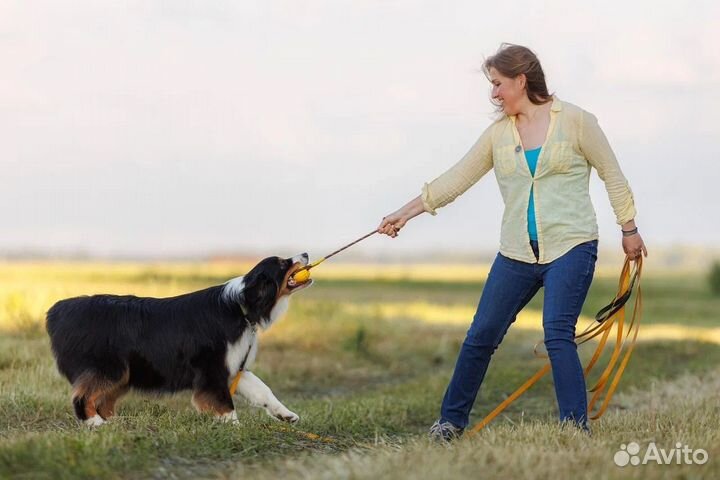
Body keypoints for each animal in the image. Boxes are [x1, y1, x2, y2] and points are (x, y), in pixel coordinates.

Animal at [45, 253, 312, 426]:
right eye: (282, 262)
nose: (306, 253)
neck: (242, 307)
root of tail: (59, 310)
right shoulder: (211, 369)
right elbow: (224, 404)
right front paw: (234, 428)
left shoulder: (235, 367)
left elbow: (263, 391)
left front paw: (286, 414)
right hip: (109, 367)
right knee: (82, 396)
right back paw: (94, 423)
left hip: (124, 373)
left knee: (103, 399)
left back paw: (113, 424)